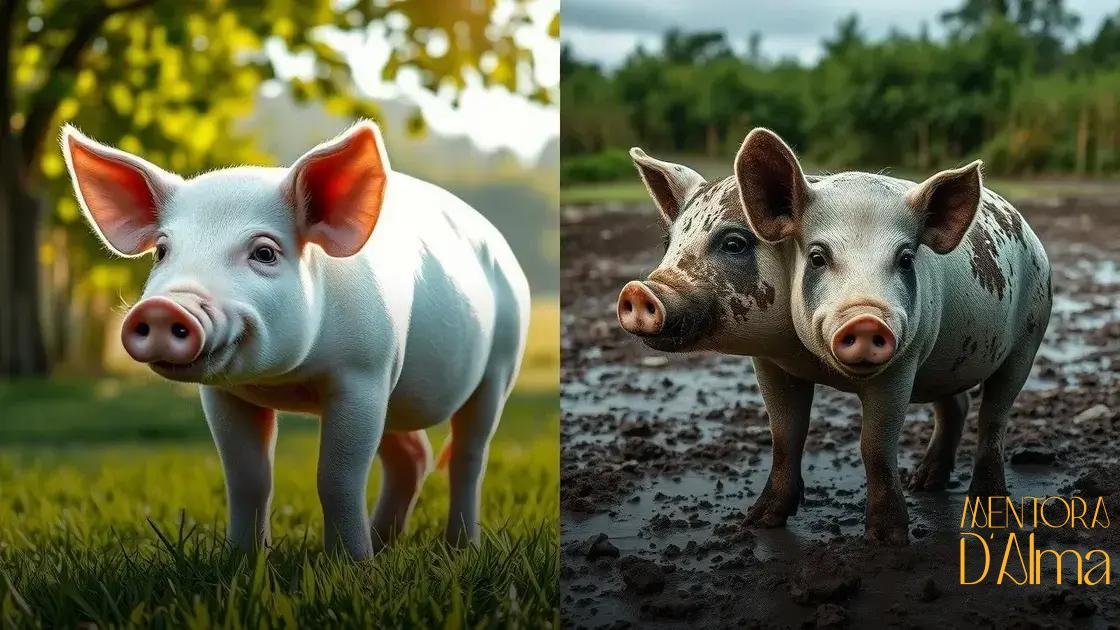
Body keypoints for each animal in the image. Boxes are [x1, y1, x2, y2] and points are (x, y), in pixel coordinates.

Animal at [61, 121, 530, 559]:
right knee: (413, 457)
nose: (164, 307)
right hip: (397, 398)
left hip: (500, 364)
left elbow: (337, 478)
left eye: (264, 253)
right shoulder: (225, 393)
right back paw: (382, 546)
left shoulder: (364, 374)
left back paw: (459, 548)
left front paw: (350, 568)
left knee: (469, 454)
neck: (289, 381)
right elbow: (247, 478)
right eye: (162, 251)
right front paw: (242, 562)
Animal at [618, 129, 1051, 544]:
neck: (815, 361)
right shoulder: (772, 364)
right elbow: (785, 435)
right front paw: (758, 522)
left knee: (993, 417)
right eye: (668, 244)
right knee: (955, 406)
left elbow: (874, 446)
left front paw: (887, 540)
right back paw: (924, 484)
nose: (639, 291)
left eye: (734, 243)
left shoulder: (902, 363)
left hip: (1029, 337)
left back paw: (989, 510)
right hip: (945, 362)